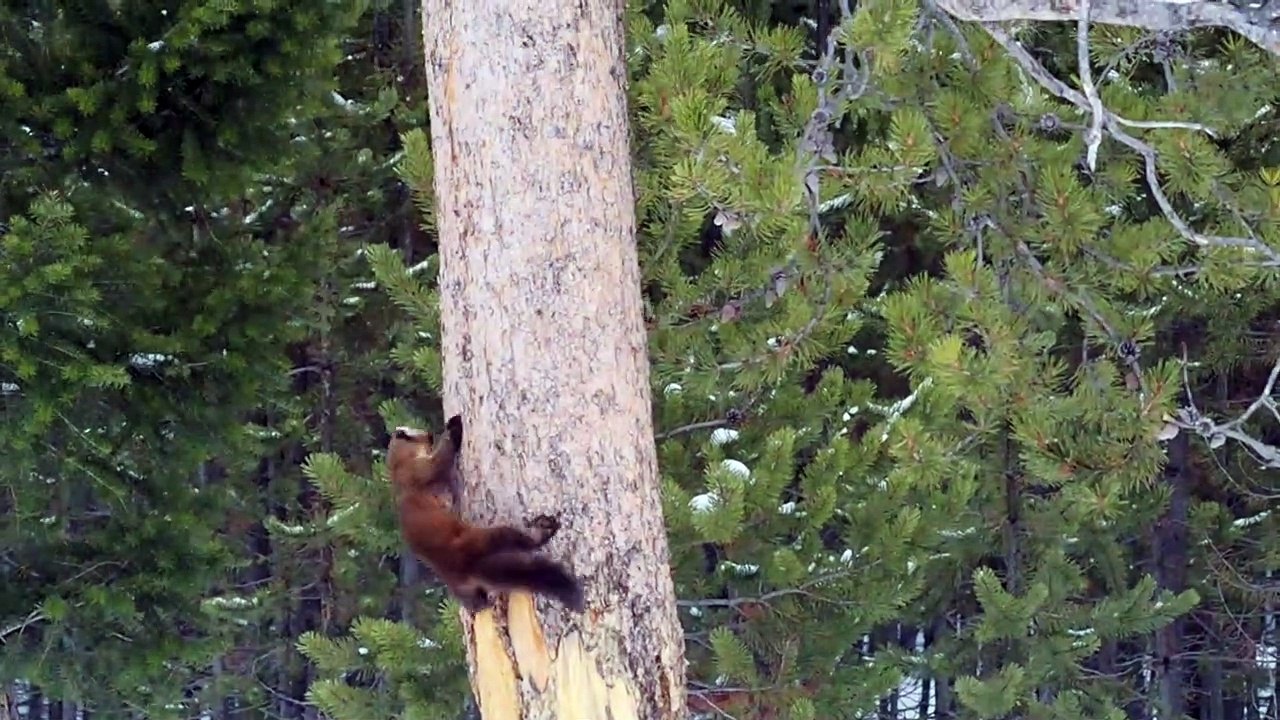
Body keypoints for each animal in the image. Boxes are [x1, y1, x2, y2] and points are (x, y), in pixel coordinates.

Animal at [386, 414, 585, 613]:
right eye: (412, 433)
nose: (429, 434)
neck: (399, 468)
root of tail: (466, 565)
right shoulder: (419, 469)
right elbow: (442, 457)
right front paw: (454, 424)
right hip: (487, 537)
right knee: (521, 539)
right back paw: (543, 530)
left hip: (464, 589)